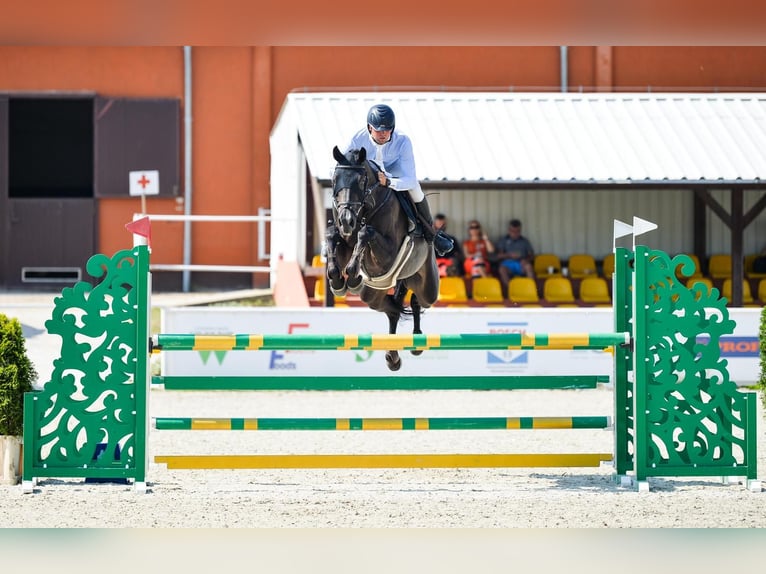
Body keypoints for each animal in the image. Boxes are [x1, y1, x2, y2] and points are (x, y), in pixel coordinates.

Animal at [328, 146, 440, 372]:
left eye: (362, 180)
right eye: (335, 179)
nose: (346, 220)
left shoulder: (388, 254)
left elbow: (366, 233)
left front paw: (352, 274)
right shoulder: (344, 242)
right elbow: (331, 236)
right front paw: (338, 281)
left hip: (428, 286)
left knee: (419, 300)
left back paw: (416, 342)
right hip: (372, 293)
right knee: (393, 310)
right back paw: (393, 356)